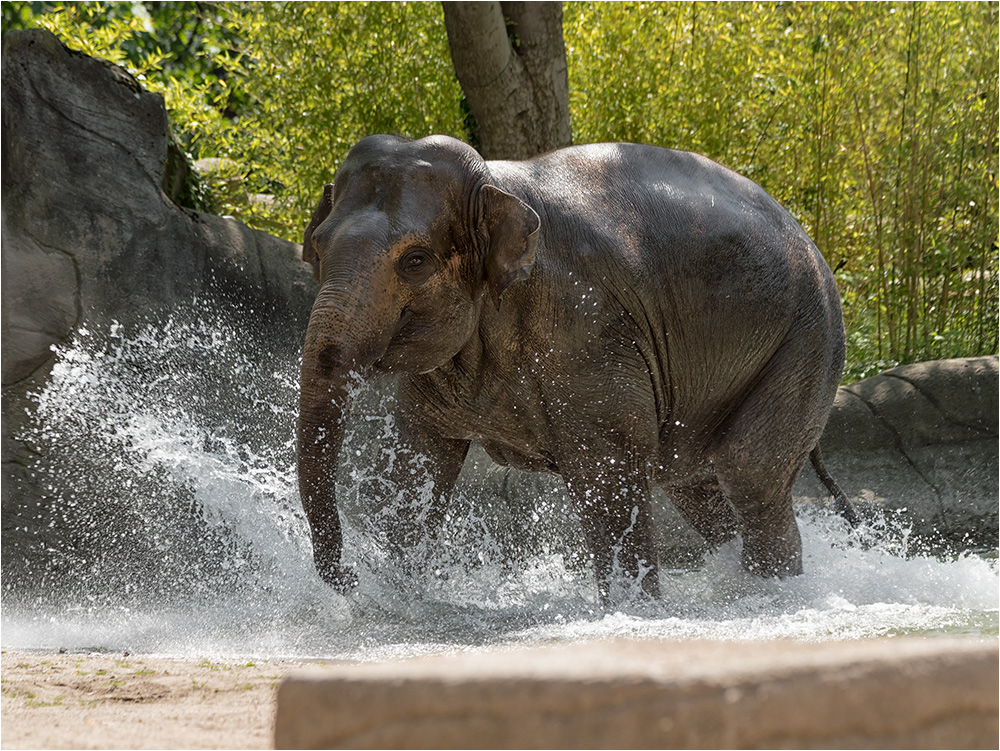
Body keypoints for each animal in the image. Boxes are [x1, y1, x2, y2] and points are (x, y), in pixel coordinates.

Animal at [296, 134, 860, 604]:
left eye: (415, 262)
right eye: (317, 247)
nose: (349, 577)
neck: (495, 181)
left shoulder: (588, 329)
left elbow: (608, 473)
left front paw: (636, 613)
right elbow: (418, 465)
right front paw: (395, 595)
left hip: (807, 341)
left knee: (751, 475)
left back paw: (772, 595)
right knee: (699, 491)